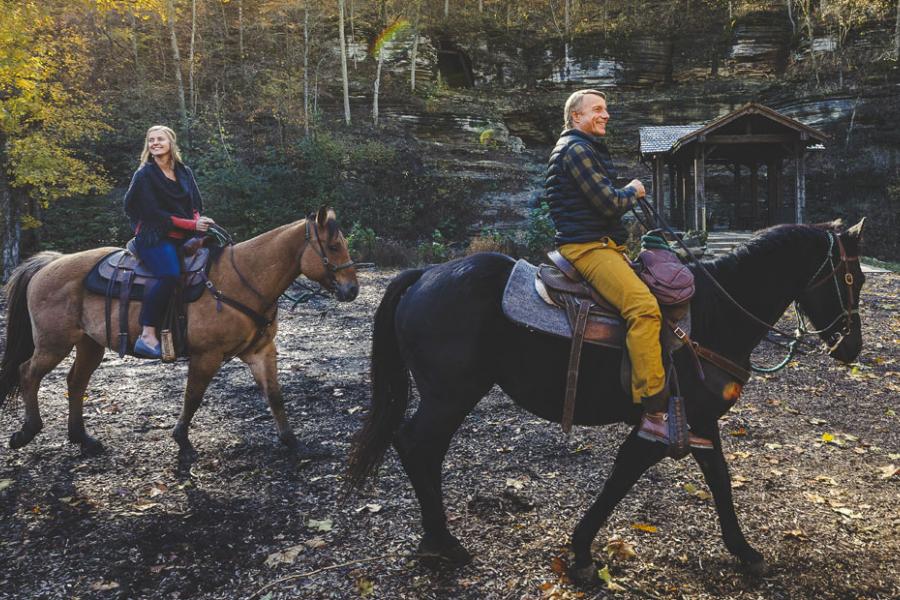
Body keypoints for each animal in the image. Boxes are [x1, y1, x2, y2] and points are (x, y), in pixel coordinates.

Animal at [0, 206, 358, 454]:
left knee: (75, 382)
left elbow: (275, 396)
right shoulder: (206, 356)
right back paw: (27, 431)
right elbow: (193, 396)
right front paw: (182, 440)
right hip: (53, 343)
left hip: (89, 343)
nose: (352, 290)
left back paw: (82, 438)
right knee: (27, 372)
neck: (243, 279)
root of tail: (49, 263)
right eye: (333, 247)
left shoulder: (261, 352)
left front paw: (291, 440)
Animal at [346, 220, 864, 580]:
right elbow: (624, 475)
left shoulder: (700, 418)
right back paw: (442, 542)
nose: (852, 348)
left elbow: (718, 477)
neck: (715, 313)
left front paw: (744, 551)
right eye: (851, 278)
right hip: (450, 394)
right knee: (418, 446)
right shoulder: (662, 421)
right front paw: (580, 553)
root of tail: (423, 275)